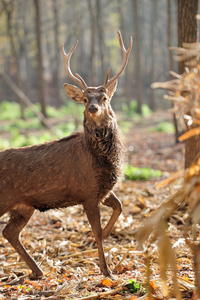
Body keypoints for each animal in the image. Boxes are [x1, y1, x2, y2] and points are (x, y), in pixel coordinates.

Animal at [0, 31, 133, 278]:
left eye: (104, 98)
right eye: (85, 99)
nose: (92, 108)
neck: (101, 161)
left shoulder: (101, 190)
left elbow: (119, 207)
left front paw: (107, 236)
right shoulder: (88, 193)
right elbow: (96, 231)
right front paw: (106, 270)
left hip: (24, 206)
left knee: (10, 232)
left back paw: (38, 271)